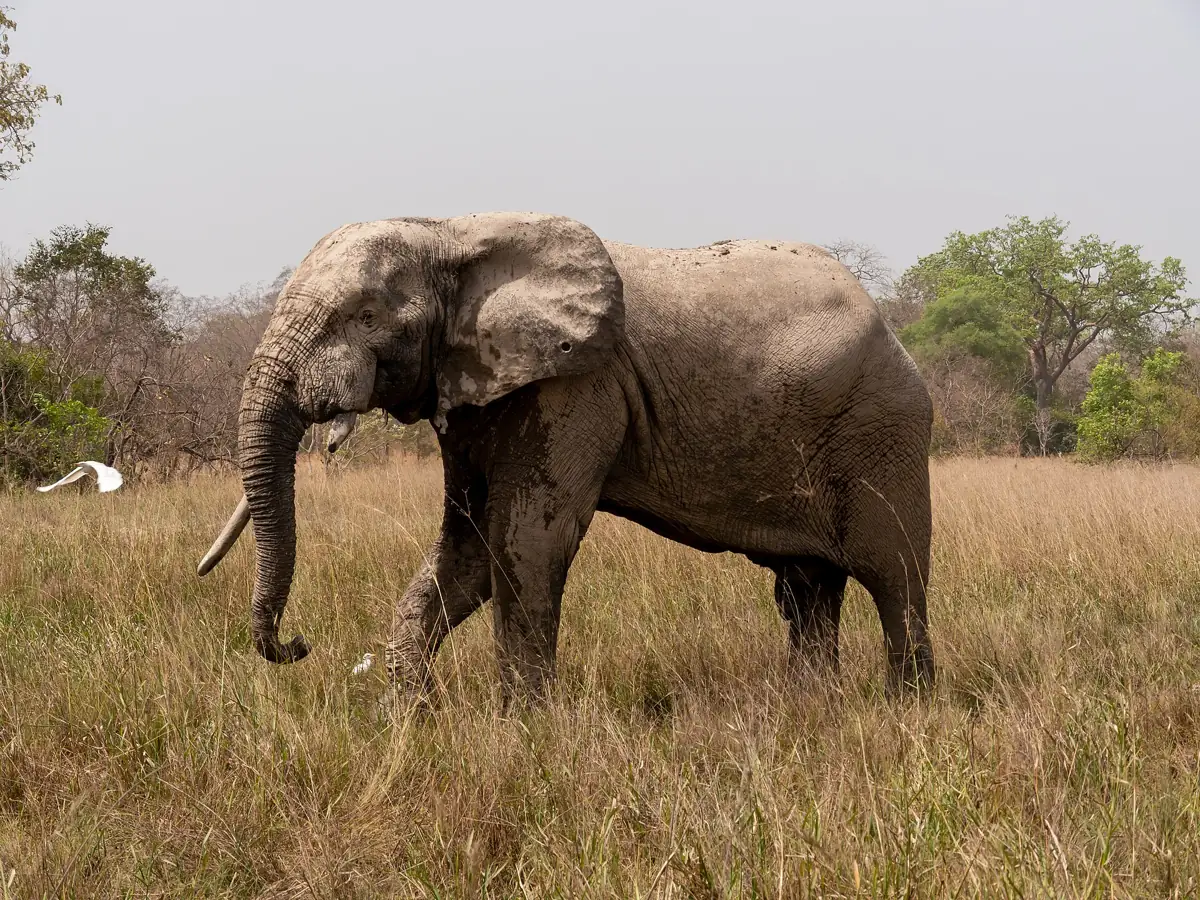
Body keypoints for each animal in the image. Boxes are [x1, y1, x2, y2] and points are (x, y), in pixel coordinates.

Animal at [197, 212, 936, 705]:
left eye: (366, 315)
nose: (295, 646)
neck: (451, 231)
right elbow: (468, 546)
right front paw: (410, 718)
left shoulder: (577, 385)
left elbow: (525, 539)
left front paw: (523, 728)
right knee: (809, 587)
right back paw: (813, 709)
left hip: (884, 427)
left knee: (893, 574)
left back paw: (906, 710)